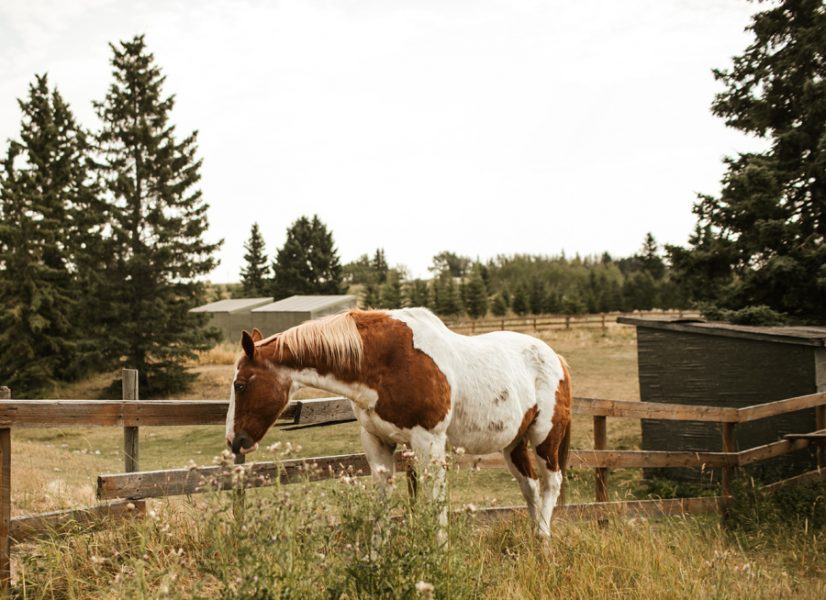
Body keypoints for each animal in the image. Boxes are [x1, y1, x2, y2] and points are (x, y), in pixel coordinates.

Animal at [227, 308, 572, 536]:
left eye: (240, 385)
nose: (234, 440)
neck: (384, 361)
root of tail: (557, 359)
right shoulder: (377, 442)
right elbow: (381, 506)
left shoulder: (429, 441)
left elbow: (436, 505)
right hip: (513, 444)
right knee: (530, 487)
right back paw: (534, 542)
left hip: (545, 438)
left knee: (551, 483)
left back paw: (543, 542)